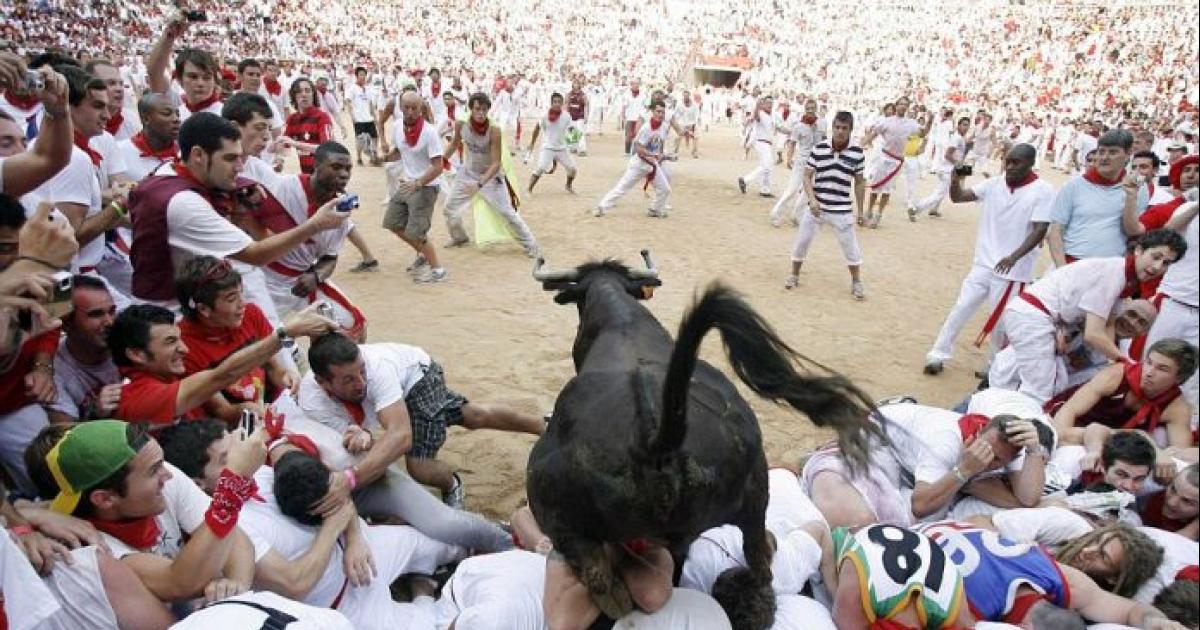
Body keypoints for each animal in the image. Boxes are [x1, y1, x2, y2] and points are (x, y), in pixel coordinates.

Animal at [523, 253, 883, 624]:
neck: (618, 317)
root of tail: (654, 440)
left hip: (548, 504)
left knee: (596, 571)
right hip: (755, 491)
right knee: (757, 556)